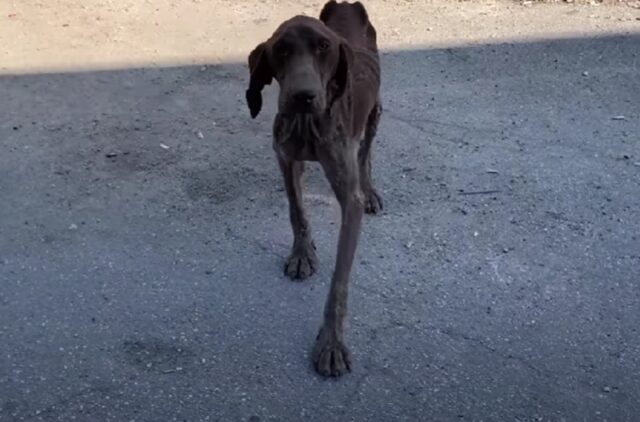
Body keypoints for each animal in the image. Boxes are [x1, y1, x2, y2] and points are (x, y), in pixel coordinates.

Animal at [245, 0, 380, 376]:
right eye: (281, 49)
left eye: (324, 47)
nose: (302, 97)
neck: (308, 125)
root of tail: (346, 6)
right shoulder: (286, 158)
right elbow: (297, 210)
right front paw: (302, 253)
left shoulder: (348, 198)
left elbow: (339, 281)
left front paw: (331, 343)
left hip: (375, 113)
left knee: (366, 152)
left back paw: (371, 189)